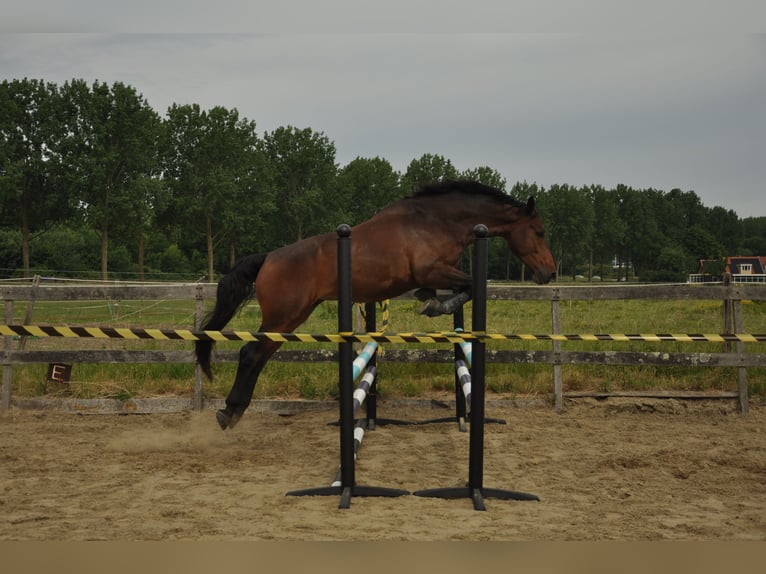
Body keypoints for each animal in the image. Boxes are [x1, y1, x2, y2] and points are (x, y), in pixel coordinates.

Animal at [196, 179, 556, 430]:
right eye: (539, 232)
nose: (549, 273)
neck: (438, 221)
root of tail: (268, 258)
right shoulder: (431, 268)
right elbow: (470, 284)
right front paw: (436, 306)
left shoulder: (430, 275)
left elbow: (451, 288)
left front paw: (430, 302)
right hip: (284, 317)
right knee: (250, 354)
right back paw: (229, 412)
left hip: (291, 318)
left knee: (258, 357)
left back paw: (233, 411)